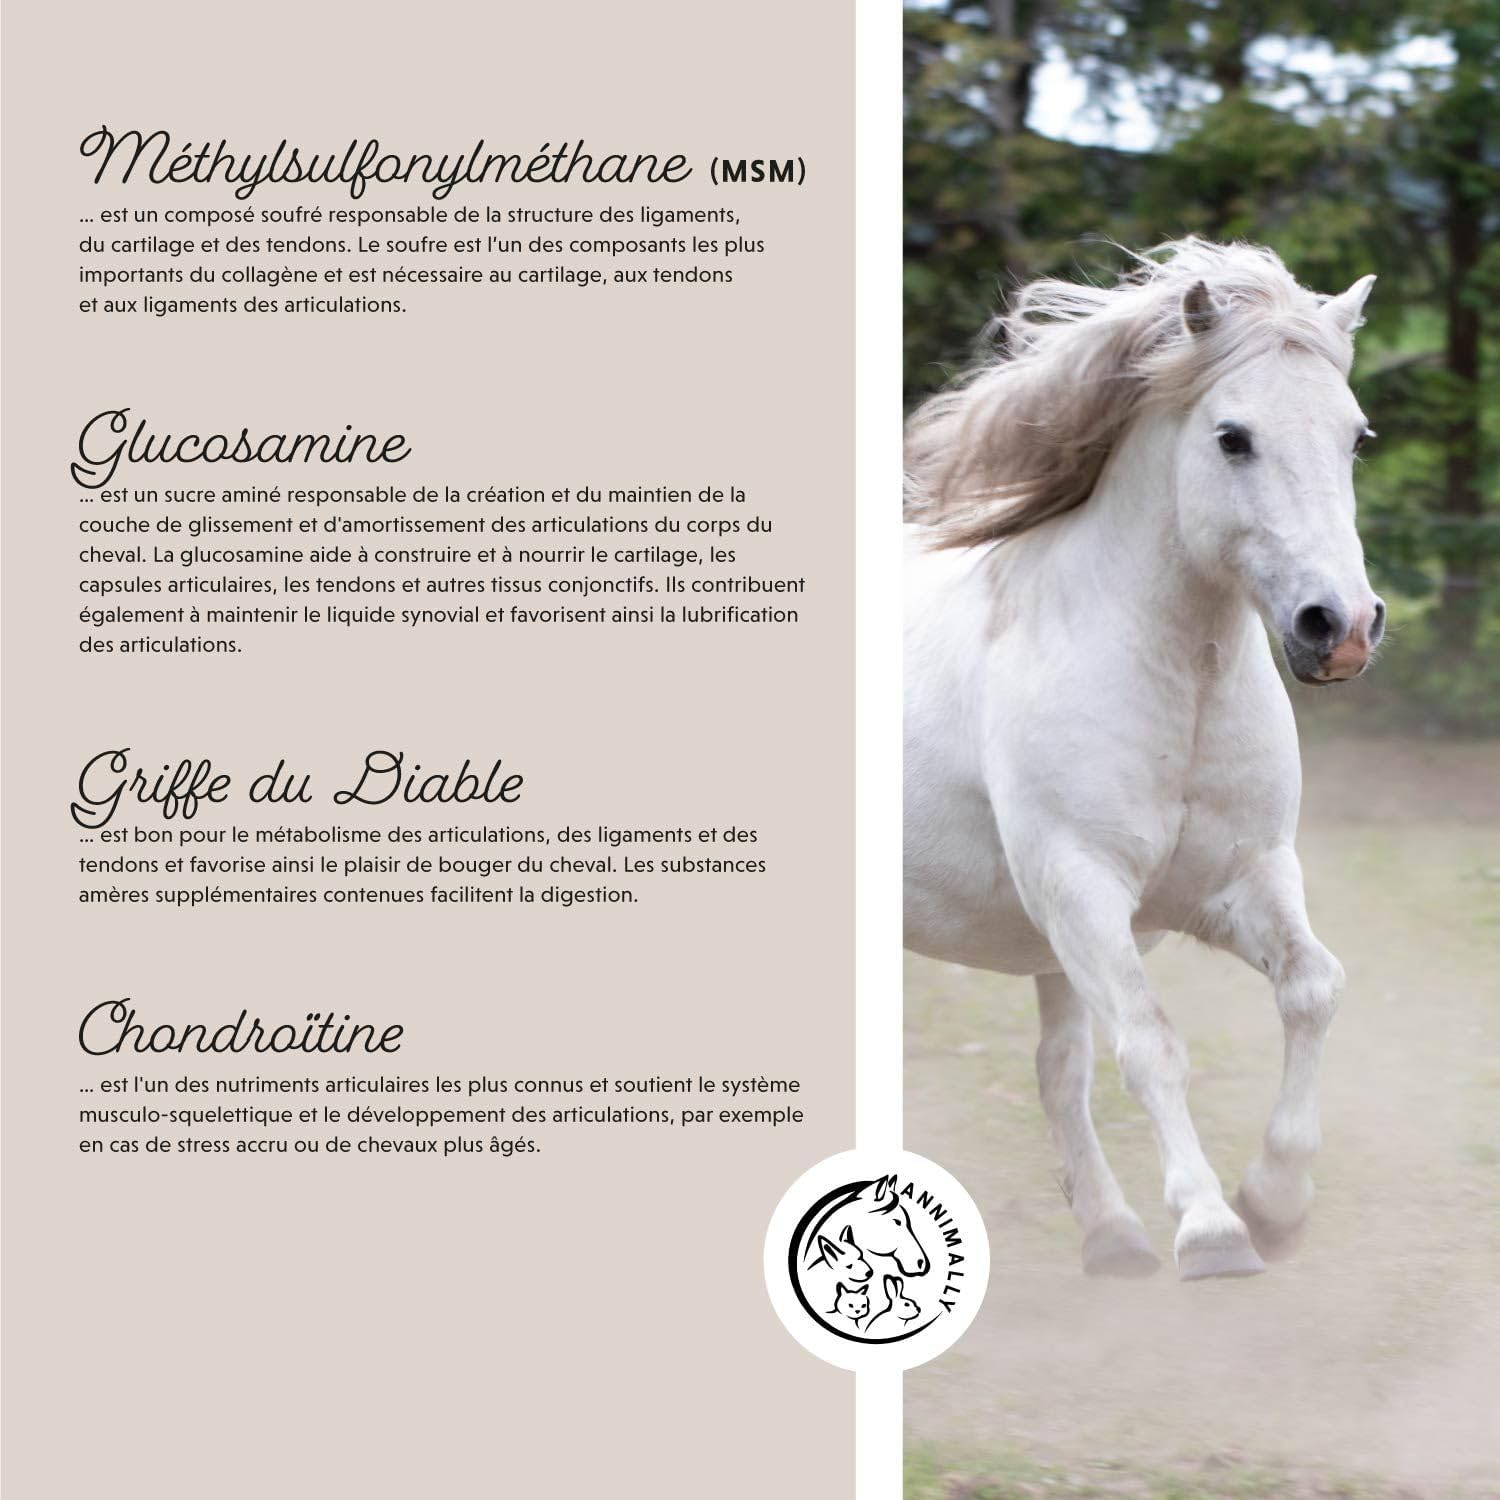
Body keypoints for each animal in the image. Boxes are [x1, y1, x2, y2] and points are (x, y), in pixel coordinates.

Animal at [903, 239, 1384, 1282]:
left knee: (1059, 1070)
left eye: (1355, 437)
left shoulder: (1238, 880)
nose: (1340, 628)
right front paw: (1212, 1231)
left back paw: (1112, 1236)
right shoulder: (1082, 888)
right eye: (1233, 437)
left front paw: (1275, 1202)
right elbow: (1153, 1045)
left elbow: (1313, 988)